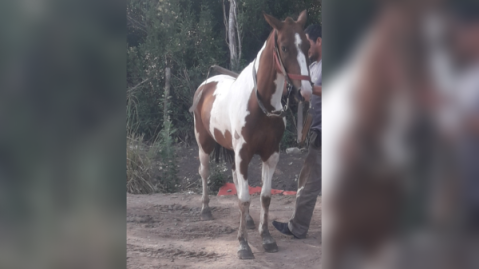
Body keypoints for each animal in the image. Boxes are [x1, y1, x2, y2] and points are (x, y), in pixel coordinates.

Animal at [189, 11, 314, 258]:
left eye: (306, 45)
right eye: (284, 47)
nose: (304, 92)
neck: (260, 105)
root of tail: (207, 83)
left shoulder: (271, 154)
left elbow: (264, 196)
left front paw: (266, 237)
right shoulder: (243, 152)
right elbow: (245, 198)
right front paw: (243, 245)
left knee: (235, 178)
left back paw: (246, 220)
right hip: (204, 144)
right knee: (205, 172)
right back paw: (205, 209)